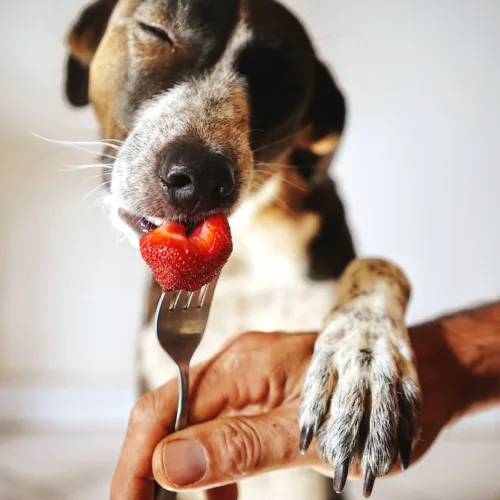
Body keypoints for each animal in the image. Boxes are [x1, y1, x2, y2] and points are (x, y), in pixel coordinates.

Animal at [63, 0, 422, 500]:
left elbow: (378, 267)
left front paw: (364, 363)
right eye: (156, 30)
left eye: (284, 82)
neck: (246, 254)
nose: (199, 175)